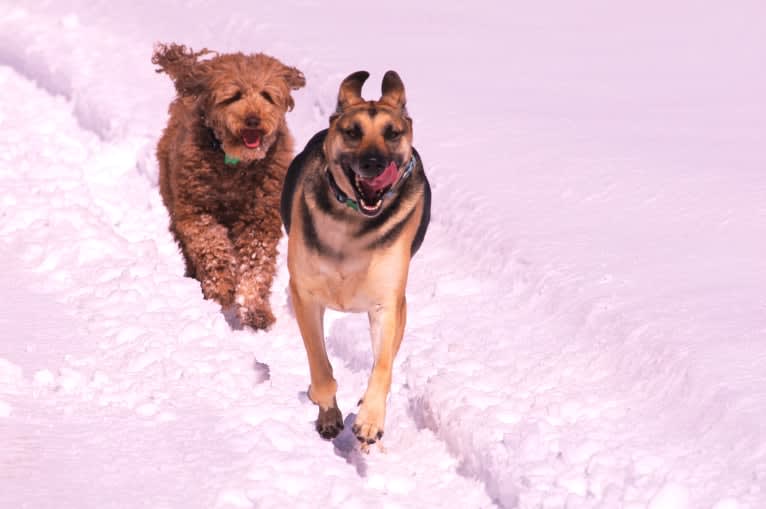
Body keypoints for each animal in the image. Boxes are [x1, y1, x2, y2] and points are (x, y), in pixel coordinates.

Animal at [153, 43, 306, 330]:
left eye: (267, 95)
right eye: (234, 96)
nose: (253, 120)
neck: (236, 164)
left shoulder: (260, 217)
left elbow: (256, 263)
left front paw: (256, 311)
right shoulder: (196, 211)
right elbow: (212, 245)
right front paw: (223, 287)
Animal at [282, 70, 432, 444]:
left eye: (393, 133)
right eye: (352, 132)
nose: (374, 164)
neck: (352, 224)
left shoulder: (388, 303)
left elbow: (383, 365)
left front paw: (370, 419)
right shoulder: (304, 295)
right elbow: (321, 369)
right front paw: (326, 406)